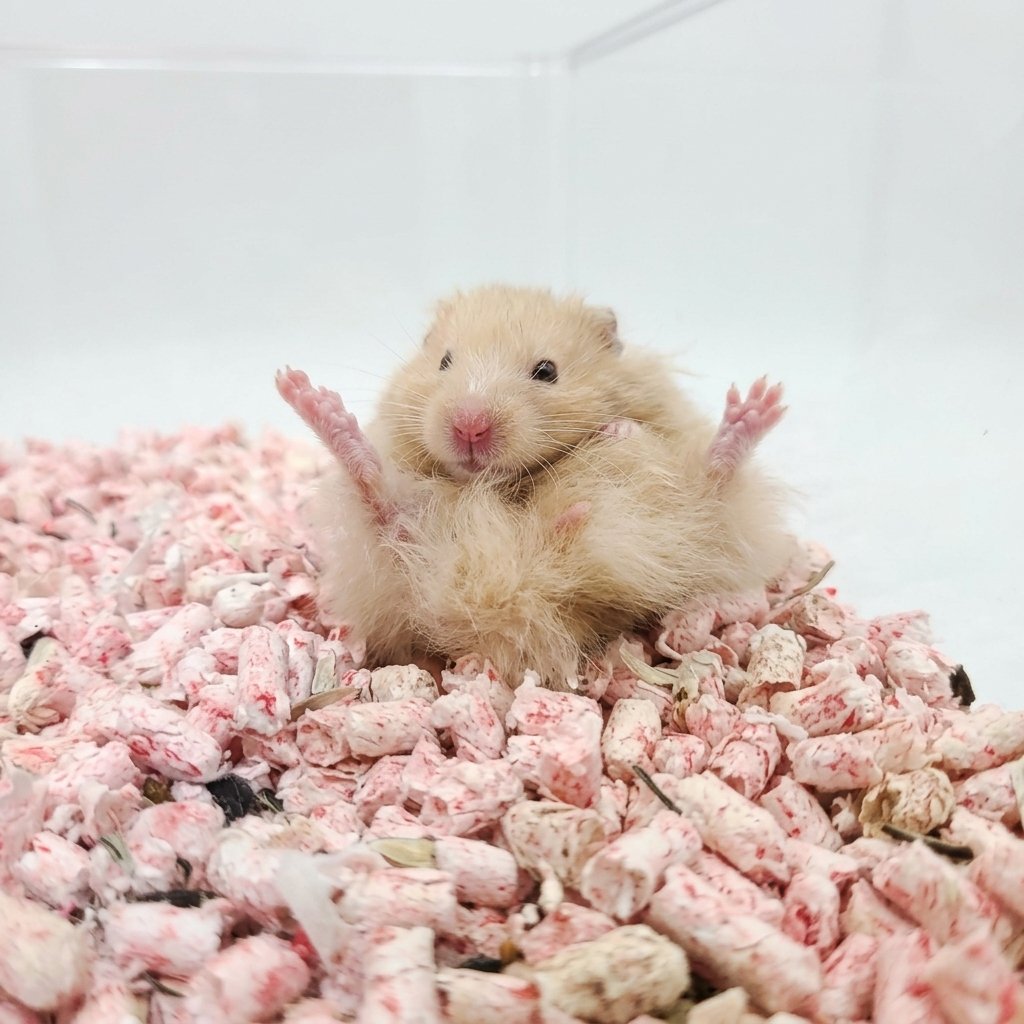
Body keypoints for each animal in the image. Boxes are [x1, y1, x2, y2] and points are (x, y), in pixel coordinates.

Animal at [278, 285, 793, 687]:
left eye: (546, 371)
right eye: (444, 361)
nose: (469, 426)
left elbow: (639, 434)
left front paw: (616, 432)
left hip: (712, 536)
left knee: (713, 483)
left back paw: (755, 407)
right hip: (384, 564)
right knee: (380, 501)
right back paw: (309, 397)